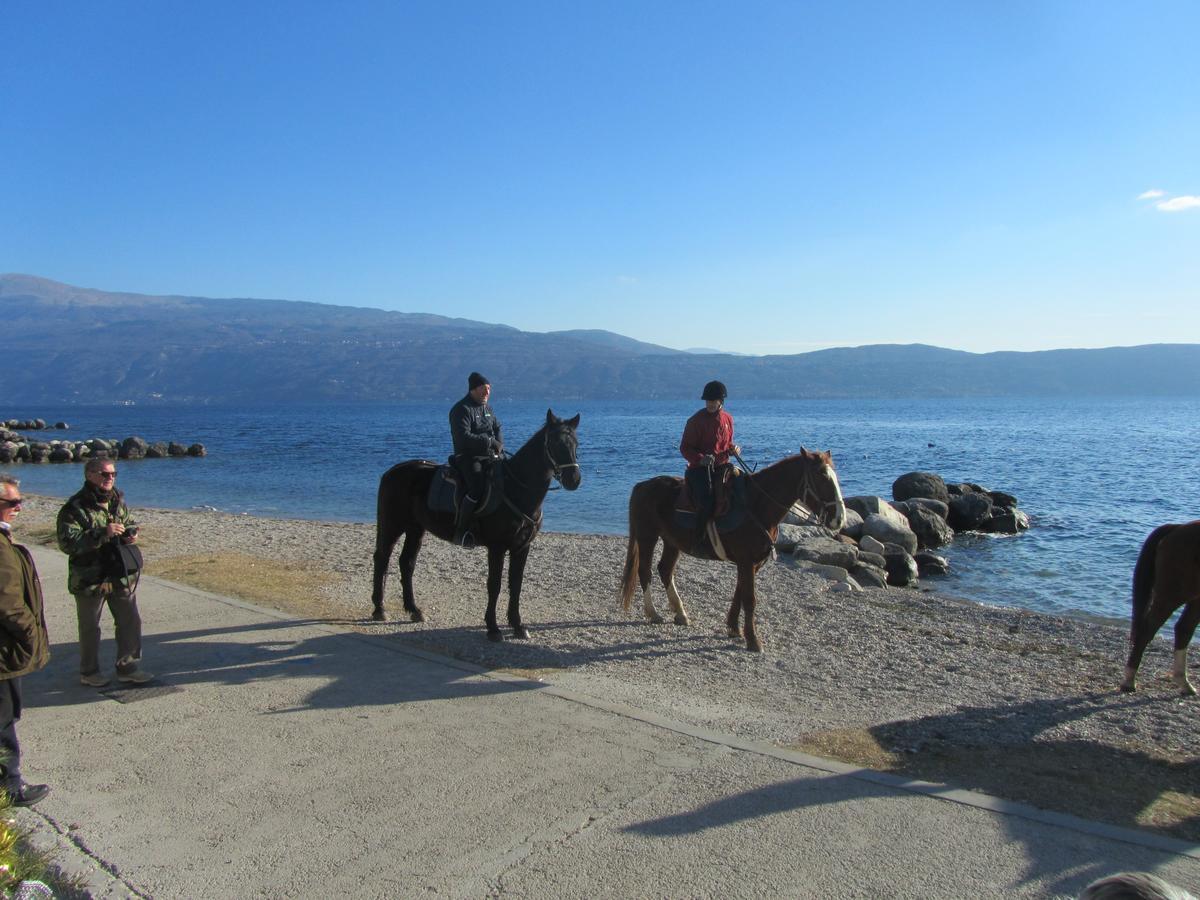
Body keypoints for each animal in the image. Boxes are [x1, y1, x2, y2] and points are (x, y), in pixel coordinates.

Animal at [372, 408, 583, 643]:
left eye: (575, 443)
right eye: (555, 443)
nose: (574, 479)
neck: (515, 488)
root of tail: (393, 471)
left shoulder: (521, 547)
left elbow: (516, 585)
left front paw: (518, 625)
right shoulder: (497, 548)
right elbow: (495, 585)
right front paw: (493, 628)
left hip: (415, 529)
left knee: (406, 563)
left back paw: (414, 610)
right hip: (392, 525)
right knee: (382, 558)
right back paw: (379, 609)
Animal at [624, 451, 849, 657]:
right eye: (822, 477)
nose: (839, 519)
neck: (757, 506)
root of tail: (642, 486)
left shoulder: (752, 563)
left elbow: (739, 592)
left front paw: (733, 628)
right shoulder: (746, 560)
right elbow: (749, 598)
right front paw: (753, 640)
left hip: (672, 542)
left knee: (665, 570)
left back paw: (680, 613)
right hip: (647, 537)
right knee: (645, 571)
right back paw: (653, 613)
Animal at [1113, 520, 1200, 696]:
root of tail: (1178, 527)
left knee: (1184, 628)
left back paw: (1184, 683)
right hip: (1171, 595)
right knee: (1147, 631)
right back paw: (1129, 682)